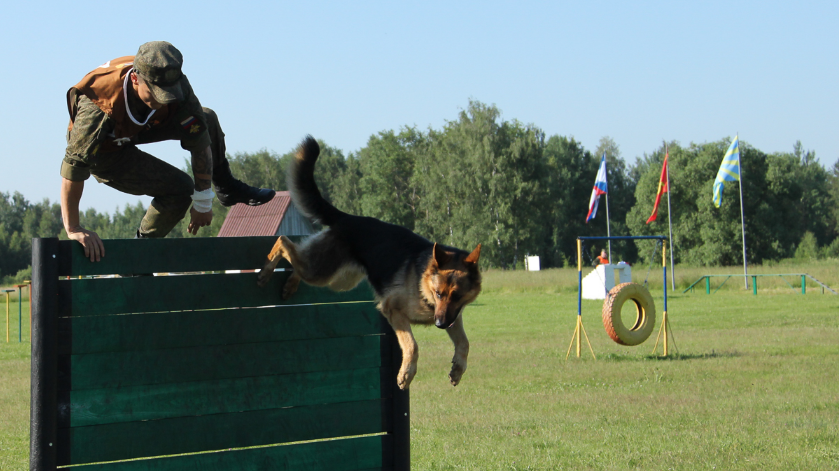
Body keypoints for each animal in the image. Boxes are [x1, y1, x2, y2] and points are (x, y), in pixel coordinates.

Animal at [256, 136, 482, 390]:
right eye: (439, 293)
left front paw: (458, 369)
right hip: (320, 271)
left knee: (297, 261)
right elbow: (412, 346)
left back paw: (290, 285)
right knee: (283, 241)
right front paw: (406, 374)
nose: (439, 324)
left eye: (456, 295)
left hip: (337, 280)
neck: (423, 286)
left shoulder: (454, 315)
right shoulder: (393, 311)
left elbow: (464, 343)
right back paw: (265, 272)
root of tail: (347, 217)